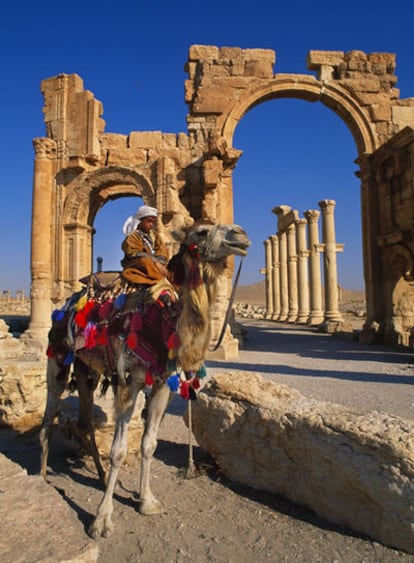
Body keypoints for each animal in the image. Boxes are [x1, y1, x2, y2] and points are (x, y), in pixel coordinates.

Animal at [39, 224, 249, 536]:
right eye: (201, 231)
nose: (240, 235)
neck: (165, 325)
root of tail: (66, 304)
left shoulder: (163, 384)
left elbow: (149, 444)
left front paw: (147, 501)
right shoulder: (130, 382)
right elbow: (118, 451)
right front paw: (102, 519)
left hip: (87, 368)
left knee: (85, 421)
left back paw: (101, 476)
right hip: (58, 356)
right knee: (49, 413)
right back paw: (41, 479)